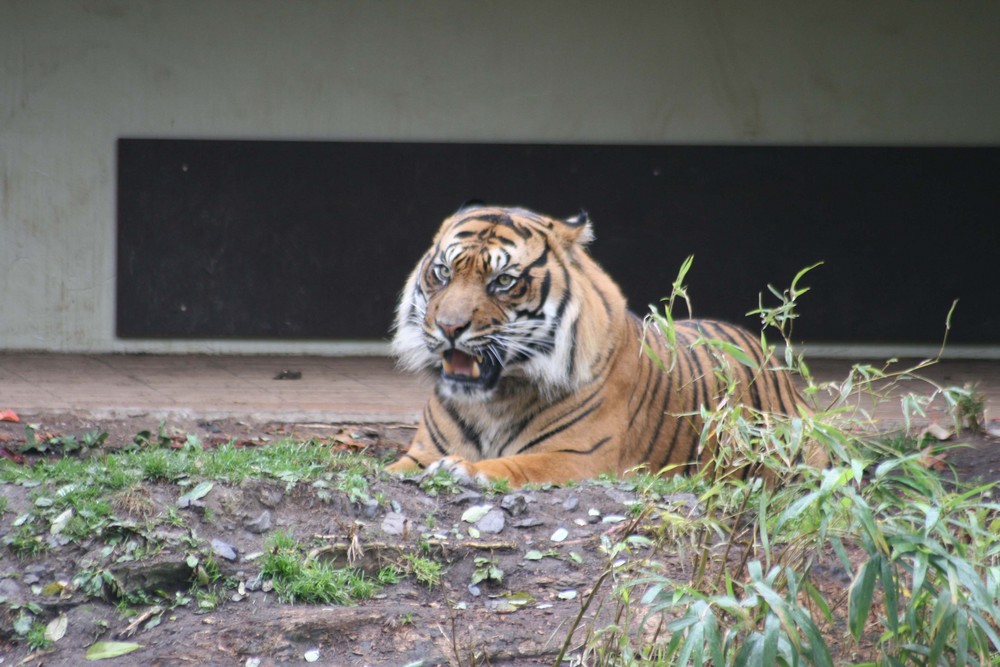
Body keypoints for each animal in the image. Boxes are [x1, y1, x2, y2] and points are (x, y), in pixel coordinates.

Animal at [386, 204, 824, 486]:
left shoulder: (577, 457)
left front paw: (465, 469)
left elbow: (514, 466)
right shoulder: (420, 453)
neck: (491, 402)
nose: (449, 327)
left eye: (504, 281)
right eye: (443, 272)